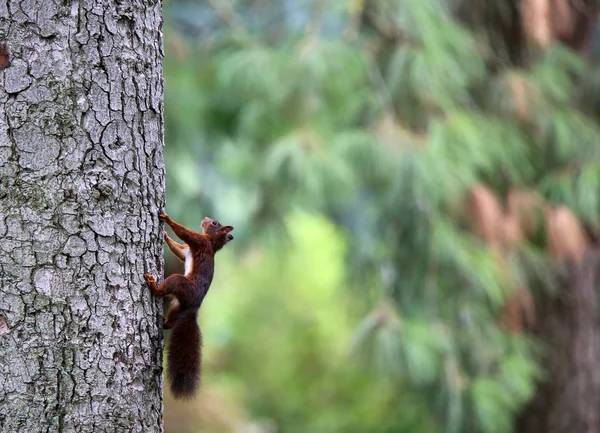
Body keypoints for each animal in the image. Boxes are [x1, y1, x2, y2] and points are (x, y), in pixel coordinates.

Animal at [144, 212, 233, 398]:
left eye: (214, 223)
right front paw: (165, 236)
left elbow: (185, 234)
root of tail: (194, 309)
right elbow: (179, 249)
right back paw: (163, 321)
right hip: (176, 306)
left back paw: (154, 286)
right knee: (171, 323)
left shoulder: (200, 242)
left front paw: (167, 219)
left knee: (164, 291)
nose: (205, 218)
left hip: (181, 284)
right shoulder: (187, 251)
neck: (212, 242)